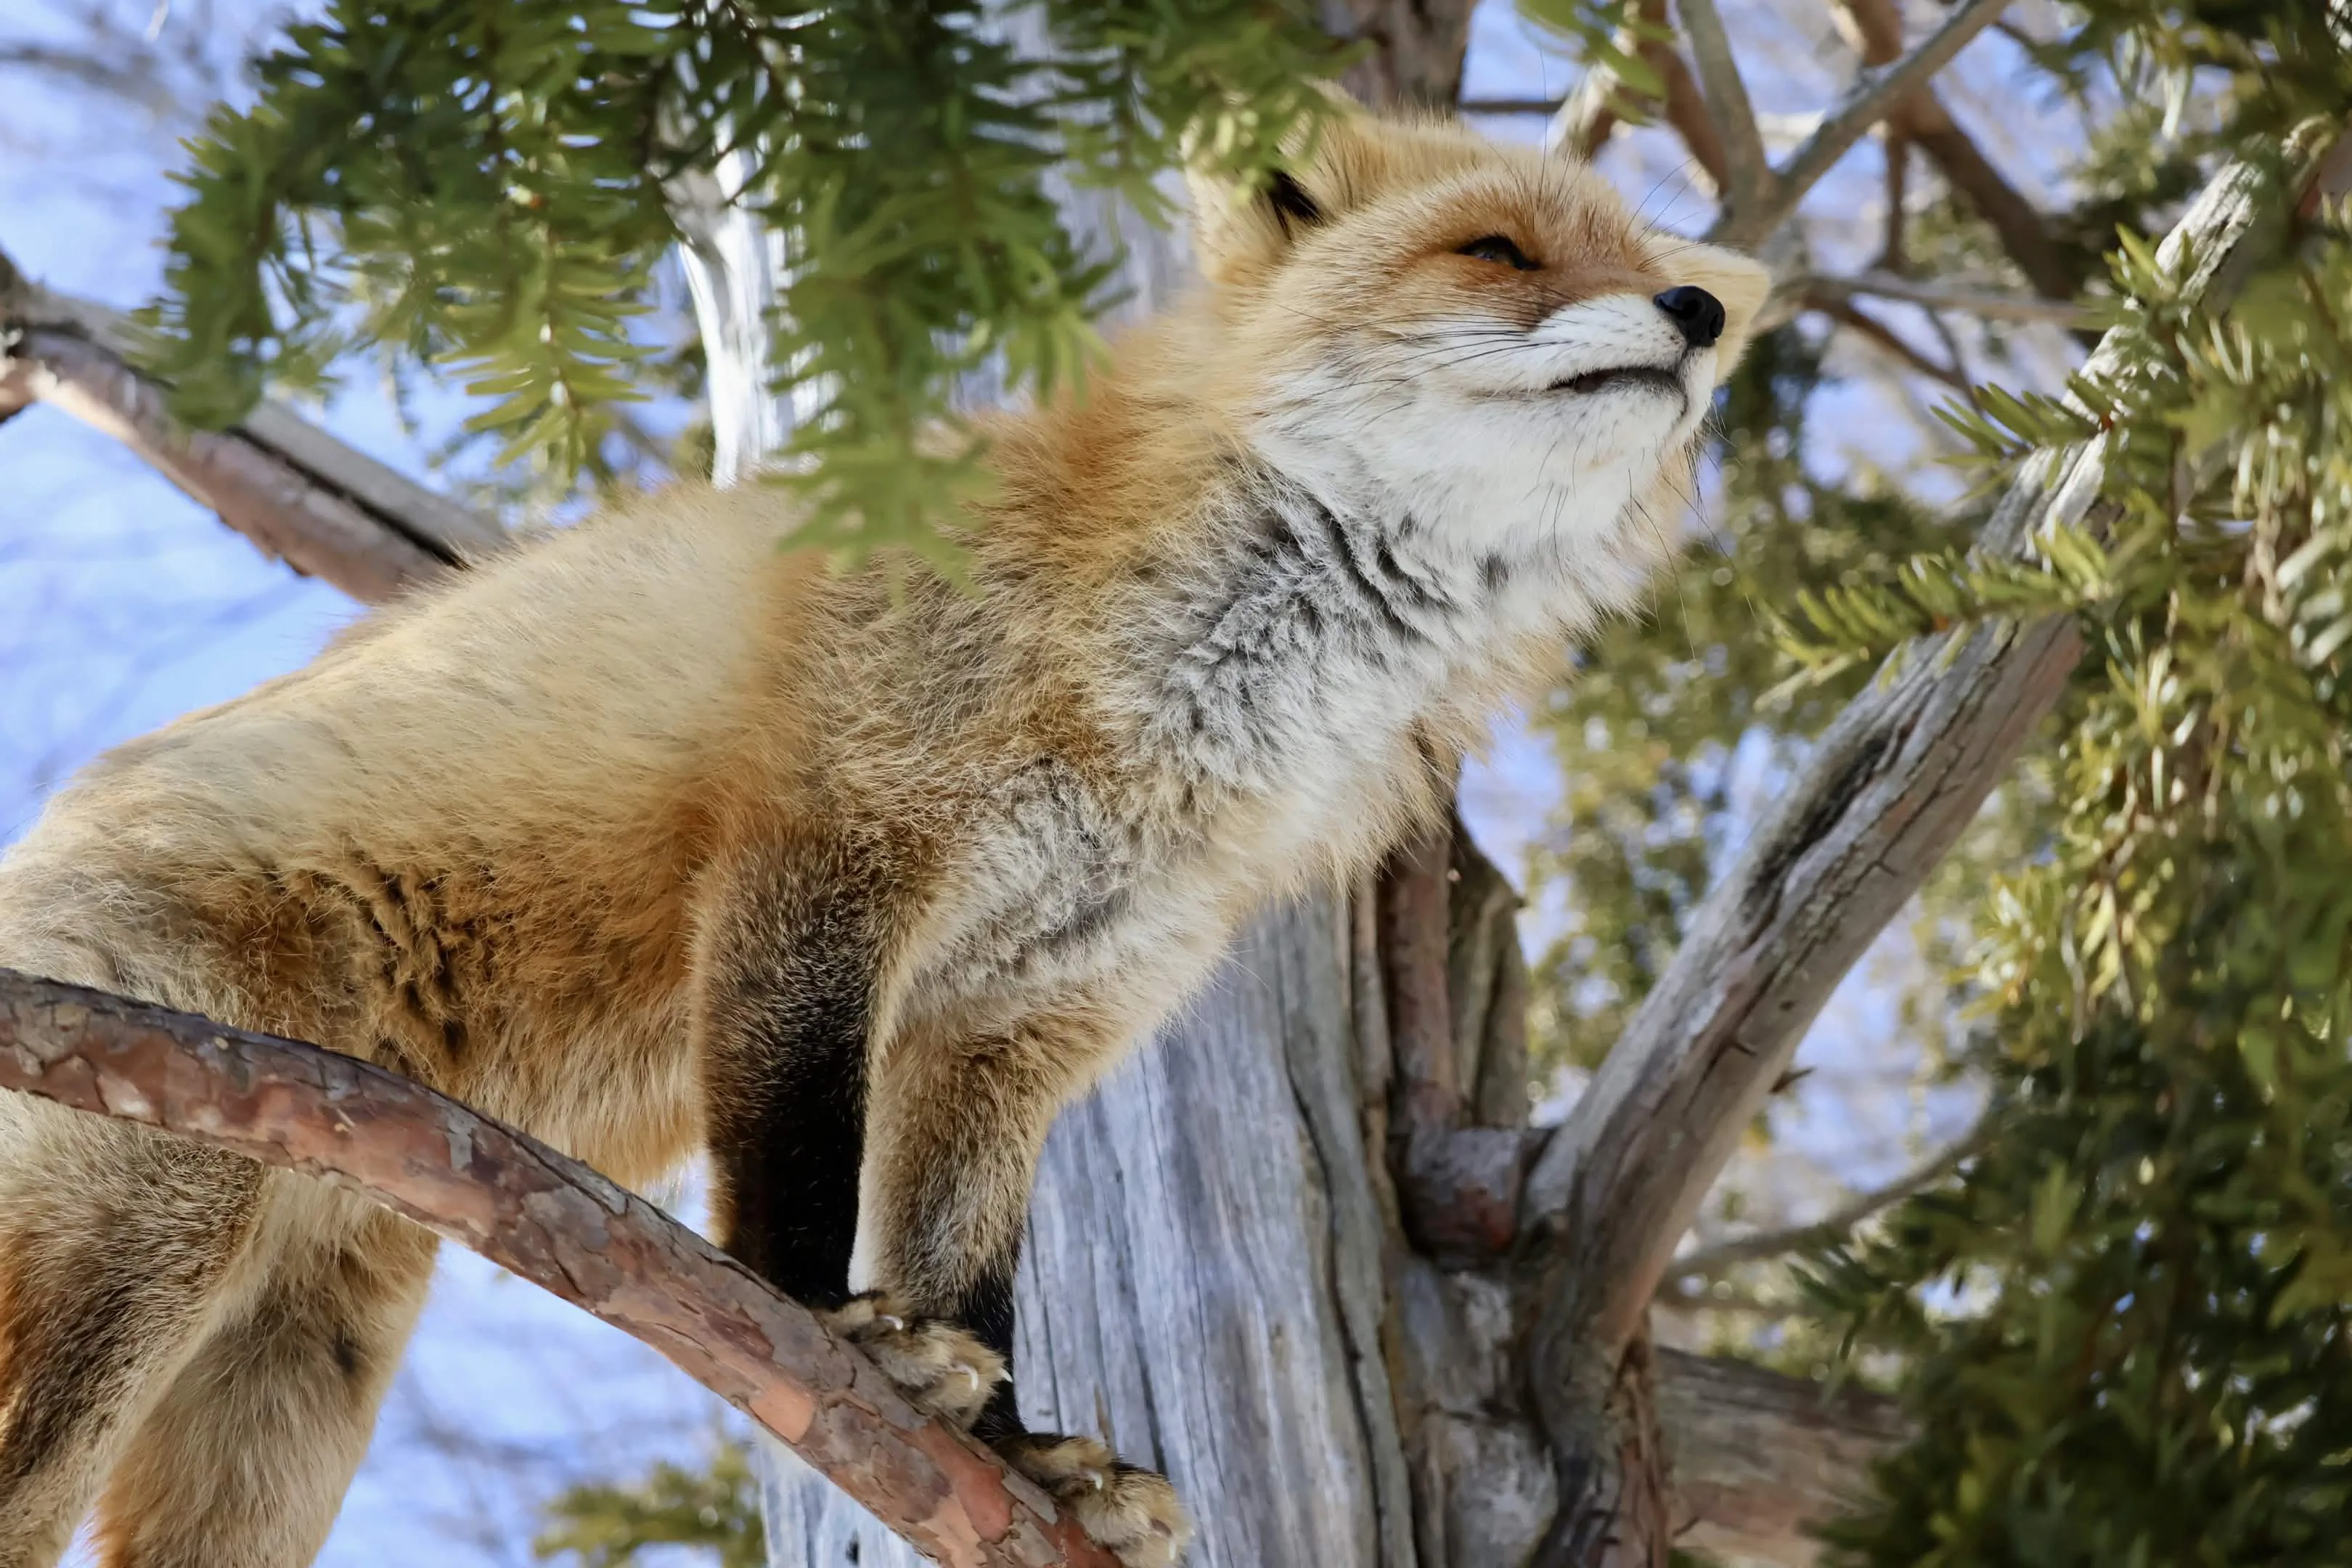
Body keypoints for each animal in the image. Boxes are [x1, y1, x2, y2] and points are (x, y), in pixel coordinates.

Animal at [0, 97, 1765, 1568]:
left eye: (1666, 277)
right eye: (1499, 251)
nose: (1696, 316)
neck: (1187, 689)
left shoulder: (1022, 1016)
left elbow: (972, 1264)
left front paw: (1025, 1455)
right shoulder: (827, 852)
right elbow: (799, 1154)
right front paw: (826, 1327)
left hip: (294, 1394)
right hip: (154, 1225)